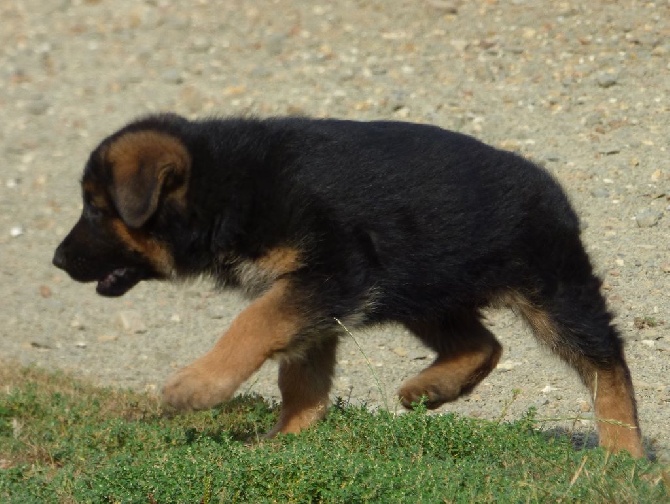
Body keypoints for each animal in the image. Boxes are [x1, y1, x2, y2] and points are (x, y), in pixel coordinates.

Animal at [53, 113, 644, 456]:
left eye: (95, 209)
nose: (57, 261)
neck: (227, 185)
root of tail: (551, 189)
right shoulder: (315, 296)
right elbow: (300, 374)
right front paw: (288, 439)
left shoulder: (328, 273)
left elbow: (251, 324)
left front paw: (198, 385)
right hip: (424, 290)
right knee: (484, 343)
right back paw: (432, 388)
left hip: (551, 289)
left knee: (605, 363)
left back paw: (622, 454)